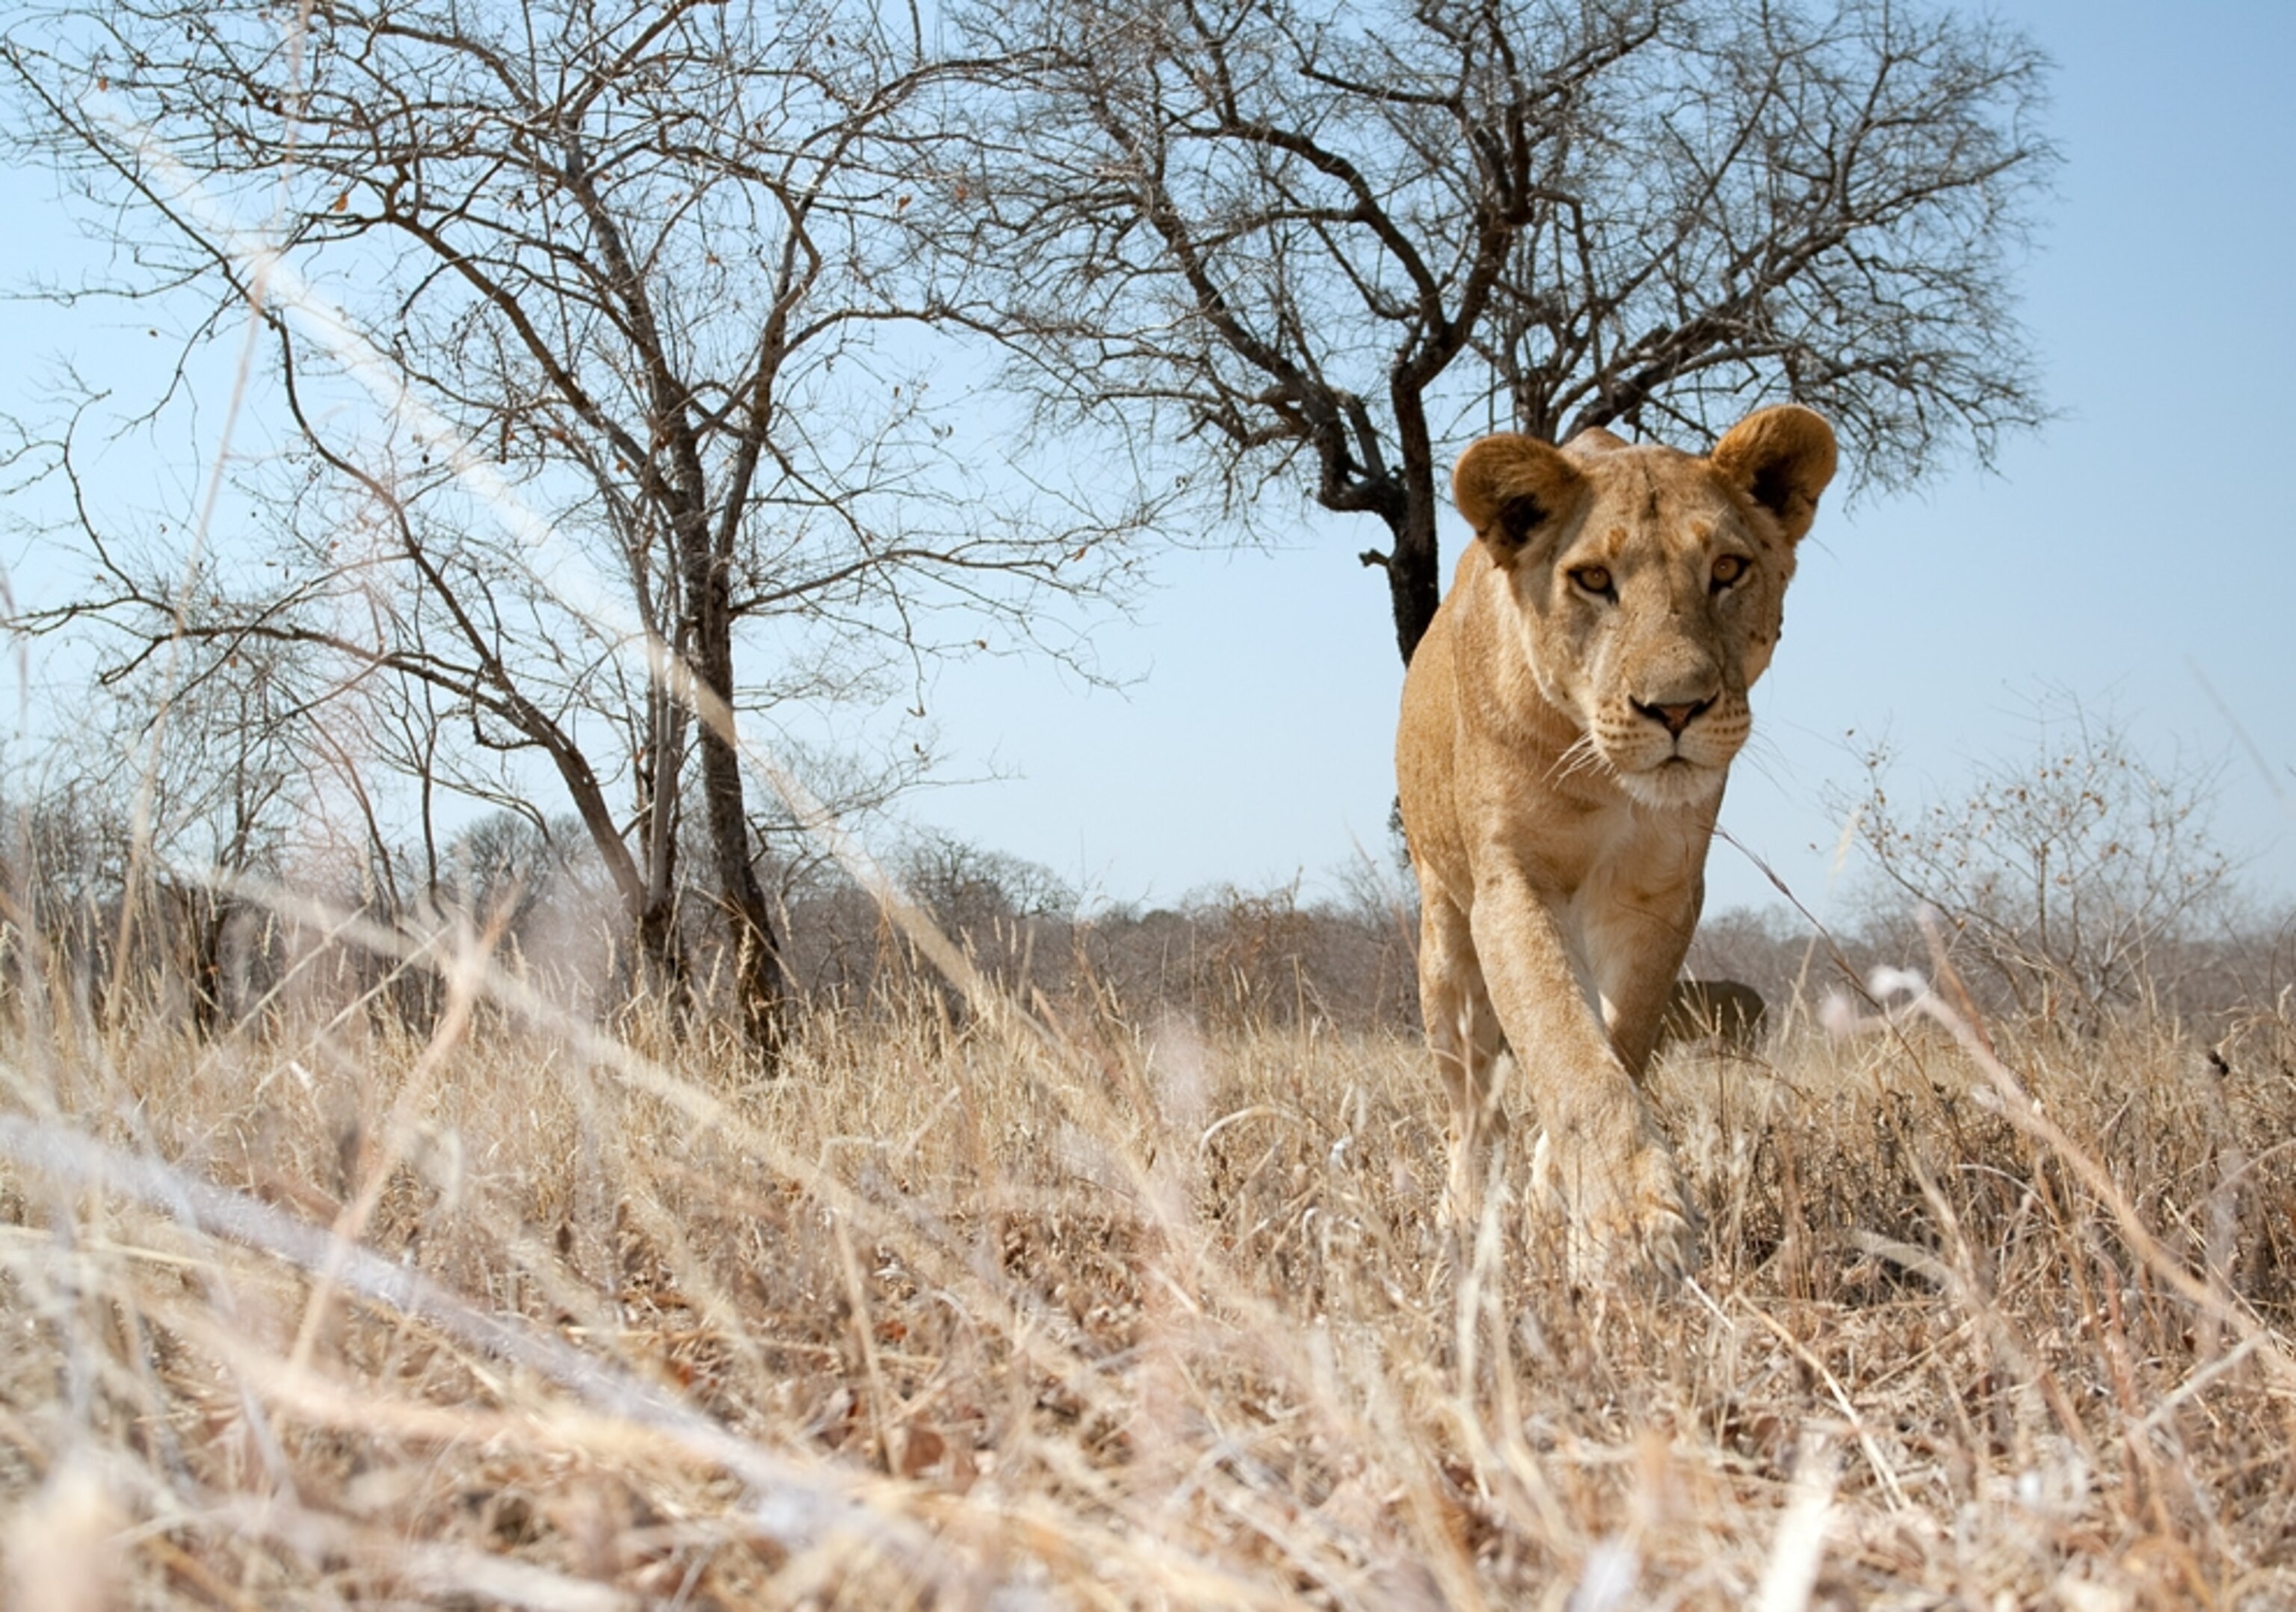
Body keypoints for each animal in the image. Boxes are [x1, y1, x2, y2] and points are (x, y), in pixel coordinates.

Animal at [1395, 406, 1836, 1280]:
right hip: (1445, 935)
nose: (1677, 709)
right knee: (1470, 1102)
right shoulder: (1513, 885)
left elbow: (1618, 1042)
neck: (1605, 774)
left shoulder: (1659, 893)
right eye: (1594, 579)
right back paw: (1463, 1219)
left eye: (1728, 569)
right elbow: (1565, 1046)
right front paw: (1634, 1227)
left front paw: (1561, 1204)